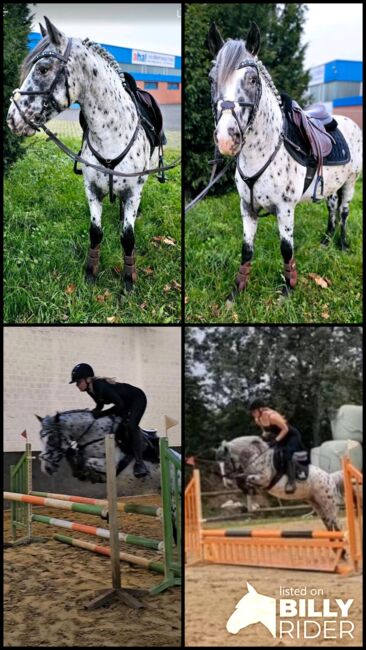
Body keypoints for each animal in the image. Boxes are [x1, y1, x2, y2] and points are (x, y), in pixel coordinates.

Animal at [207, 20, 362, 294]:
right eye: (211, 79)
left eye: (252, 79)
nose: (227, 138)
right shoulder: (246, 206)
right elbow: (246, 250)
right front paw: (238, 290)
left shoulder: (285, 208)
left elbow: (286, 249)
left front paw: (288, 288)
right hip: (332, 185)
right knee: (332, 208)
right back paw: (326, 241)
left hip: (351, 181)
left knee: (344, 211)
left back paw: (342, 244)